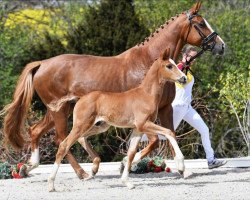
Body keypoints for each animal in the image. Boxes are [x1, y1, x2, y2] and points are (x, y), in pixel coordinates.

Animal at [47, 48, 187, 191]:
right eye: (169, 66)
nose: (184, 78)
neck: (146, 95)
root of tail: (81, 98)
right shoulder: (143, 124)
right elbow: (169, 132)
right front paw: (181, 165)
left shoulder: (137, 129)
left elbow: (131, 153)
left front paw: (127, 181)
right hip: (82, 125)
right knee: (64, 145)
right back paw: (51, 184)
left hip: (101, 126)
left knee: (81, 138)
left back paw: (93, 170)